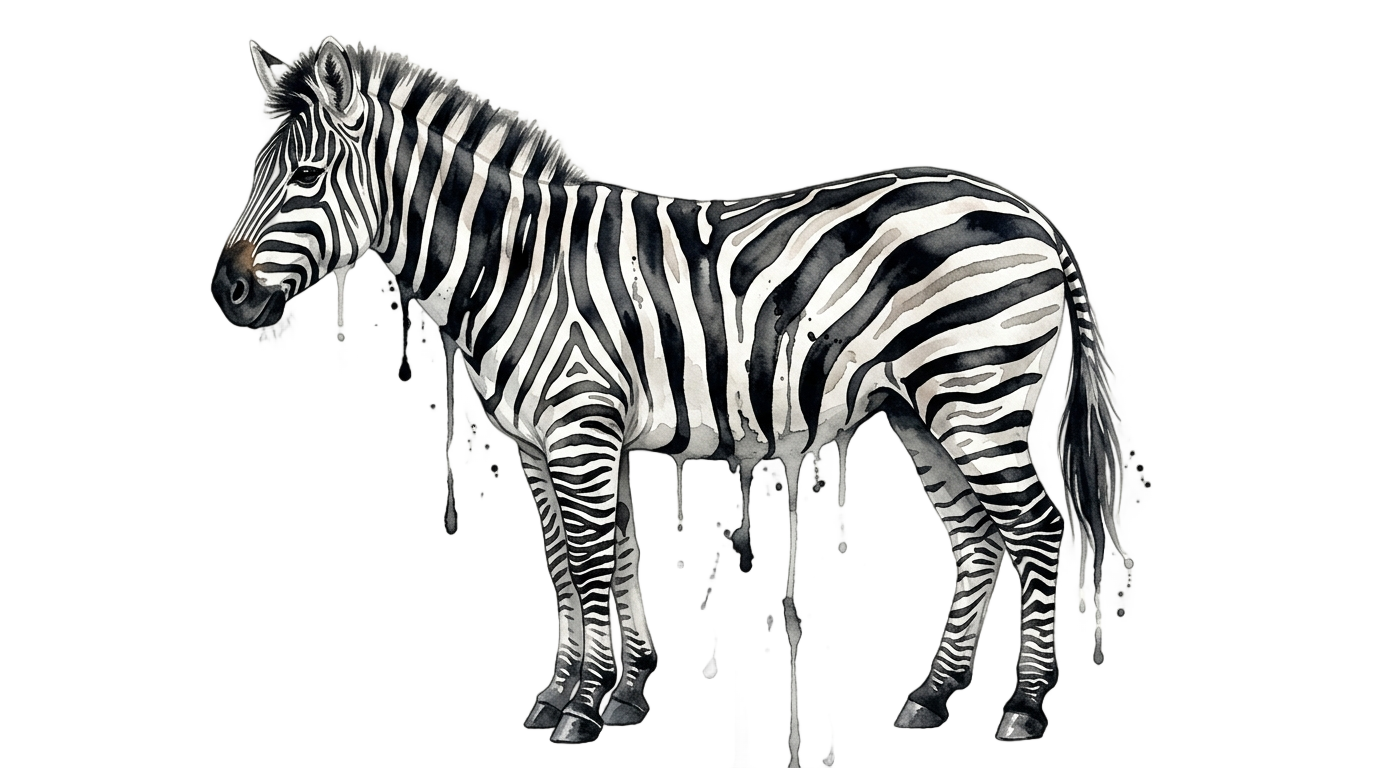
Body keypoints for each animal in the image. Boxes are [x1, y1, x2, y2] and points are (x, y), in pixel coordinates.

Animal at [209, 36, 1125, 764]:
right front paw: (591, 694)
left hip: (976, 394)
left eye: (307, 176)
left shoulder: (581, 426)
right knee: (976, 539)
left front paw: (584, 710)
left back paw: (1024, 710)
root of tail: (1031, 215)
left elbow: (588, 564)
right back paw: (932, 697)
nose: (225, 290)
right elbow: (578, 563)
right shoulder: (543, 441)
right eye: (253, 173)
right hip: (920, 409)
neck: (514, 263)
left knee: (1039, 532)